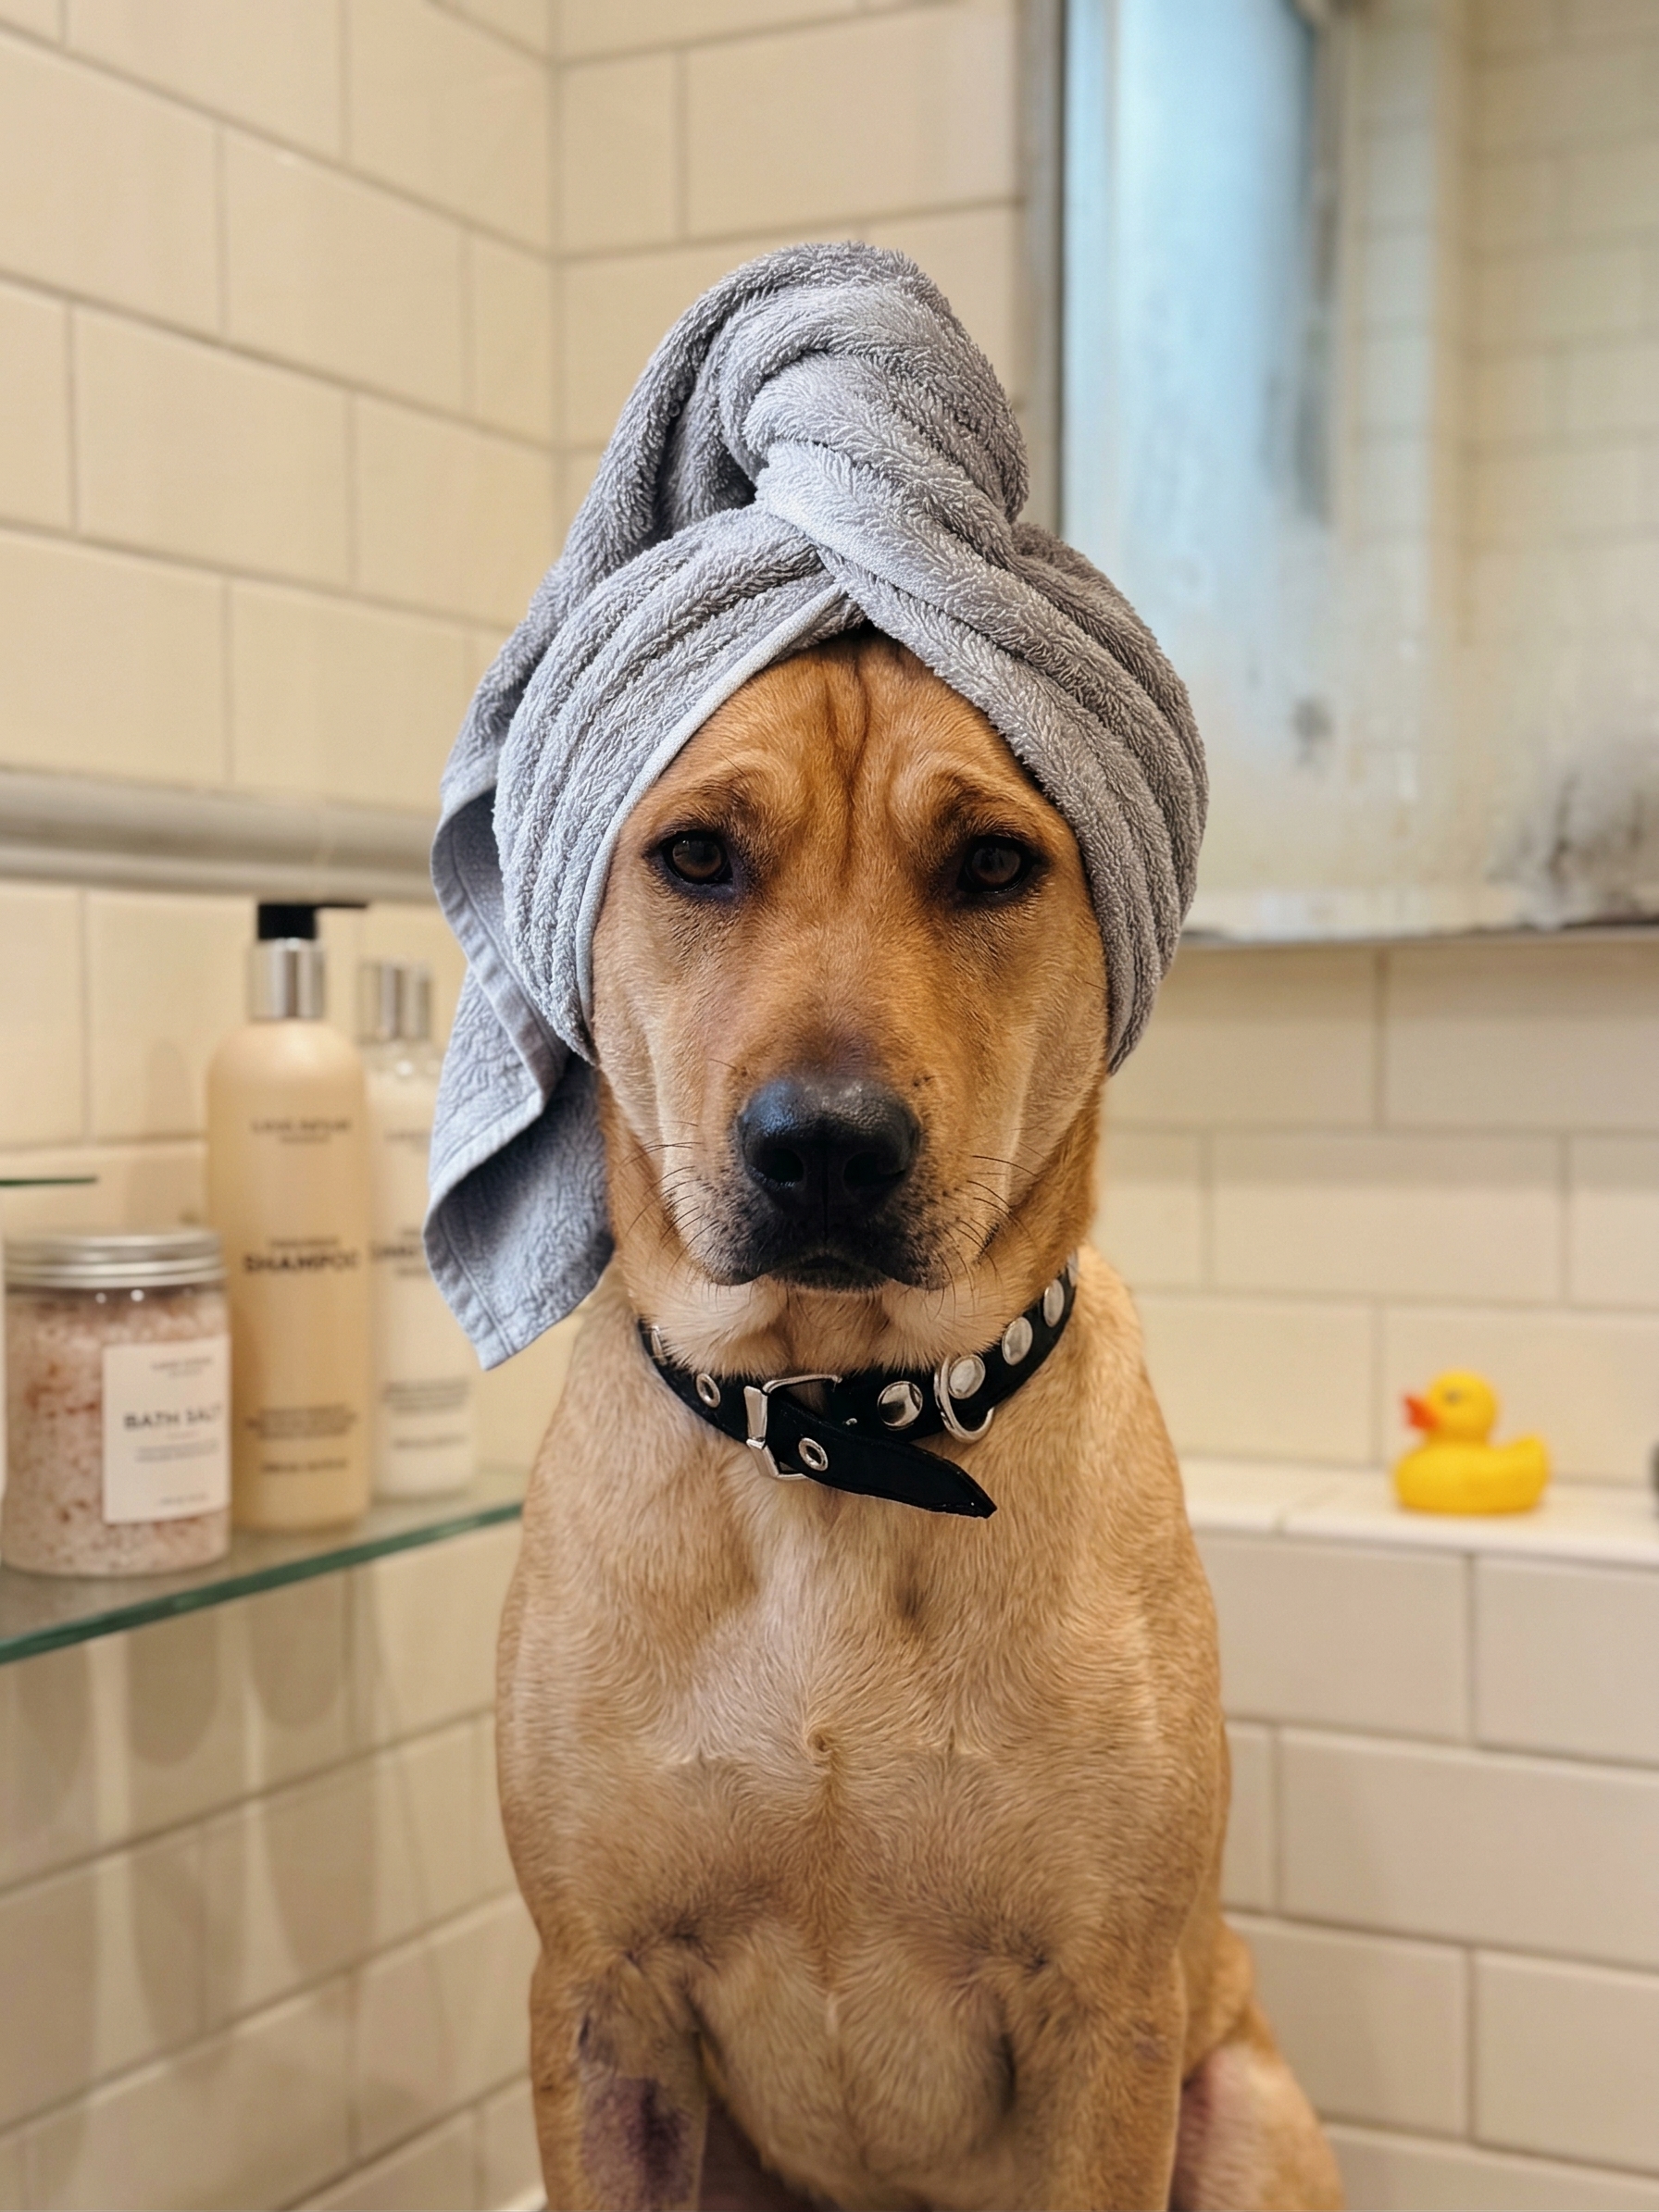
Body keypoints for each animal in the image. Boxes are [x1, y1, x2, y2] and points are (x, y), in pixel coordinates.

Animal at [497, 631, 1342, 2212]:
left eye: (994, 863)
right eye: (696, 856)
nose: (826, 1144)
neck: (836, 1430)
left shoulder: (1108, 2016)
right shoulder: (602, 1998)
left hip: (1246, 2109)